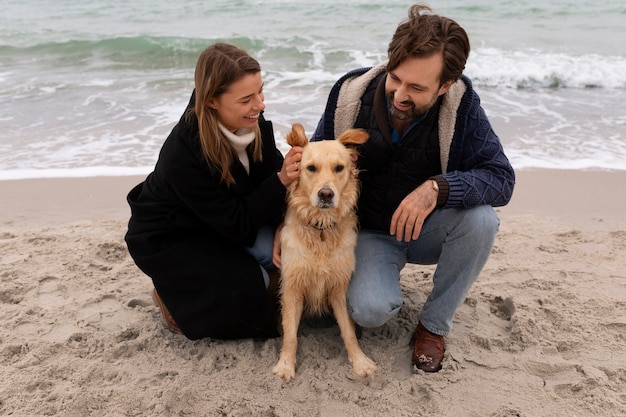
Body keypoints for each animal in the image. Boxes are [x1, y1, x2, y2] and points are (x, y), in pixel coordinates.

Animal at [270, 122, 376, 380]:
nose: (326, 194)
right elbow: (290, 335)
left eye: (339, 168)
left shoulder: (339, 286)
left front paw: (360, 362)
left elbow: (348, 331)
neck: (321, 229)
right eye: (310, 168)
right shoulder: (292, 286)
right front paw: (285, 365)